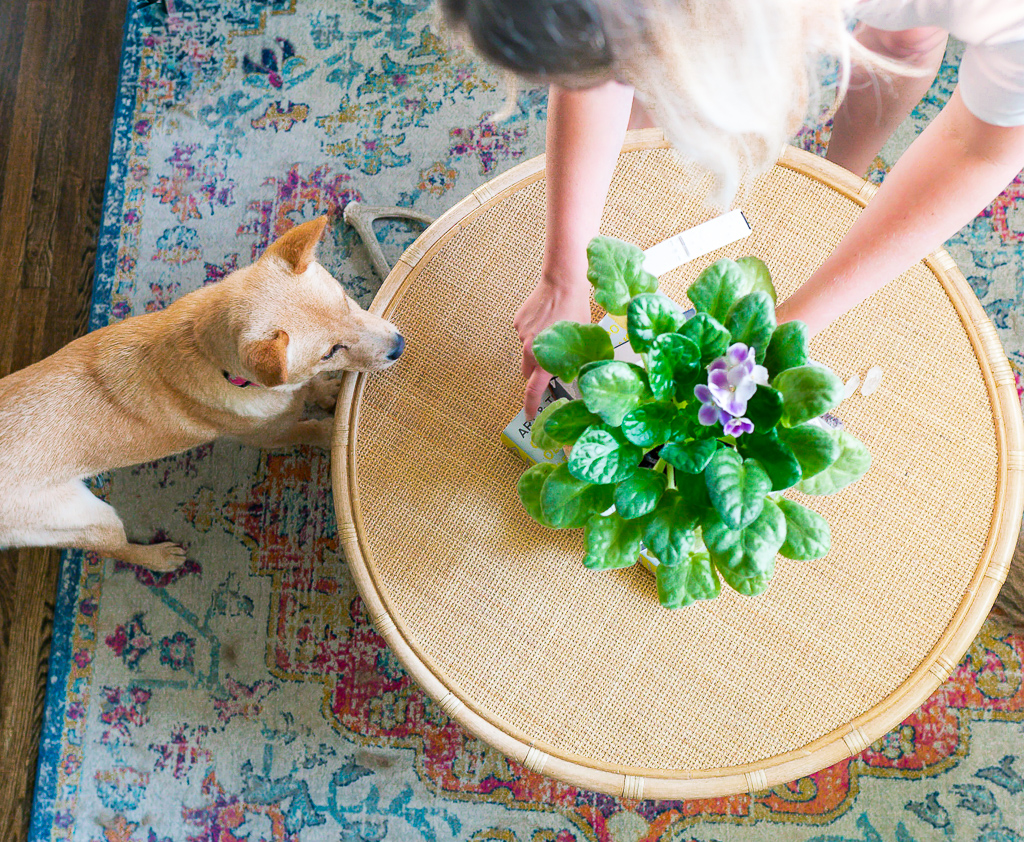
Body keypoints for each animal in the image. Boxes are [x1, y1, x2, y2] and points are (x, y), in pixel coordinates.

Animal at [0, 217, 403, 573]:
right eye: (330, 351)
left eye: (346, 299)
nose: (399, 346)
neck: (206, 351)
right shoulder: (273, 437)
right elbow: (313, 429)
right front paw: (331, 430)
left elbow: (310, 389)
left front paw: (327, 391)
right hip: (85, 517)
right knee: (116, 549)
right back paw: (159, 558)